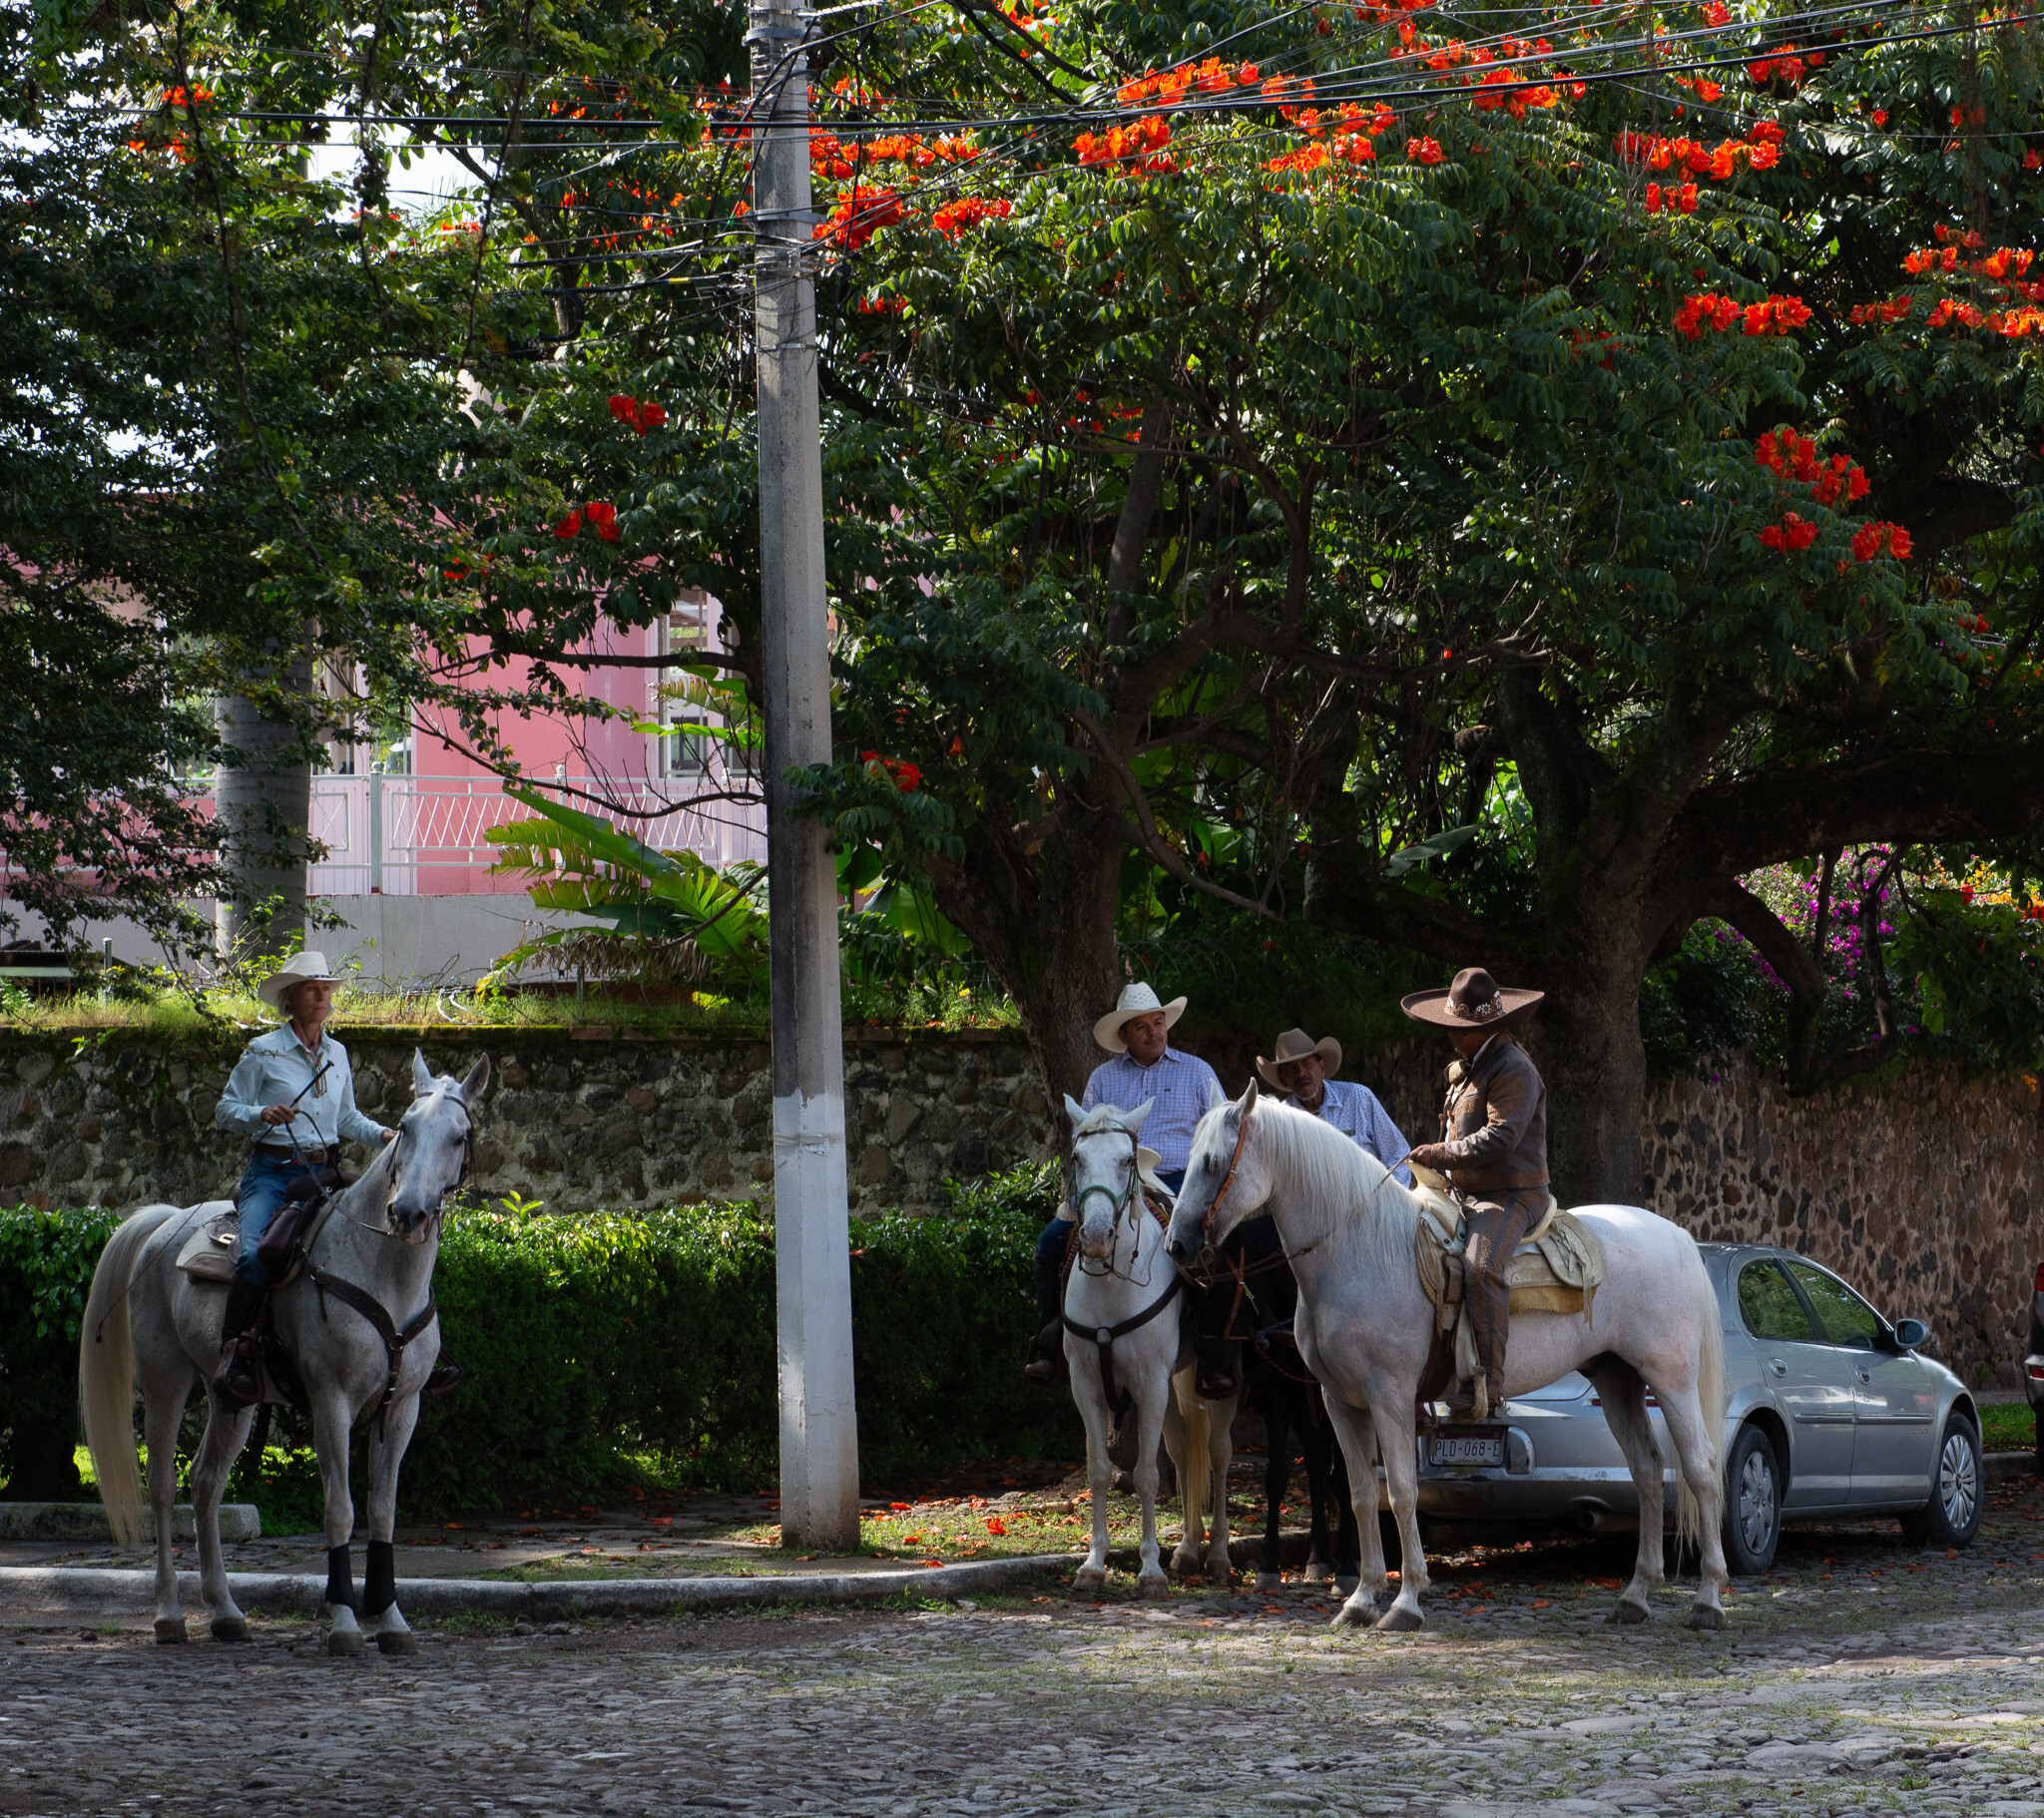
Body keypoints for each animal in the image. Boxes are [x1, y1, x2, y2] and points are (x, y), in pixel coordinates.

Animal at [77, 1051, 486, 1655]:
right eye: (407, 1127)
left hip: (232, 1397)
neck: (384, 1270)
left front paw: (391, 1621)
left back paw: (225, 1611)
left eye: (460, 1136)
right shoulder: (331, 1400)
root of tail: (166, 1221)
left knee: (205, 1483)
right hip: (165, 1382)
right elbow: (340, 1510)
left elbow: (383, 1512)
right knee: (163, 1490)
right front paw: (344, 1623)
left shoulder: (402, 1405)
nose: (408, 1213)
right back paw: (169, 1616)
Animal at [1061, 1095, 1239, 1596]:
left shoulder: (1150, 1384)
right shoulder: (1085, 1385)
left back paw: (1218, 1556)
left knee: (1218, 1455)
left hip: (1215, 1386)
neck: (1111, 1287)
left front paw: (1149, 1570)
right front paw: (1094, 1564)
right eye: (1077, 1159)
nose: (1095, 1236)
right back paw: (1188, 1550)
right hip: (1177, 1384)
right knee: (1182, 1451)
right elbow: (1101, 1471)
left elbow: (1145, 1476)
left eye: (1126, 1160)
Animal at [1165, 1080, 1728, 1633]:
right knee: (1647, 1469)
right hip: (1618, 1378)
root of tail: (1677, 1236)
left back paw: (1708, 1600)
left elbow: (1401, 1493)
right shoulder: (1339, 1401)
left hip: (1671, 1378)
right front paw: (1361, 1599)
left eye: (1213, 1162)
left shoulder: (1390, 1395)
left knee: (1700, 1468)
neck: (1358, 1248)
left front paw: (1406, 1601)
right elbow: (1360, 1493)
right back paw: (1636, 1596)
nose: (1178, 1245)